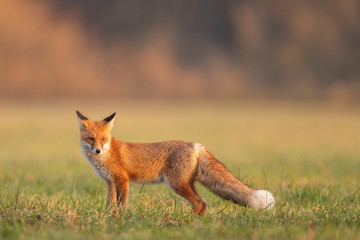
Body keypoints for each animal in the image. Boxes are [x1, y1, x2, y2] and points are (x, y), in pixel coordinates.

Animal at [75, 111, 272, 216]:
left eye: (103, 139)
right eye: (91, 139)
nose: (97, 150)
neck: (108, 153)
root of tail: (197, 145)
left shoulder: (122, 180)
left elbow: (121, 203)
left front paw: (119, 217)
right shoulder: (110, 182)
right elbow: (110, 202)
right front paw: (108, 216)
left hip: (176, 184)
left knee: (199, 202)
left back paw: (190, 223)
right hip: (187, 183)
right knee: (202, 203)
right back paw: (198, 221)